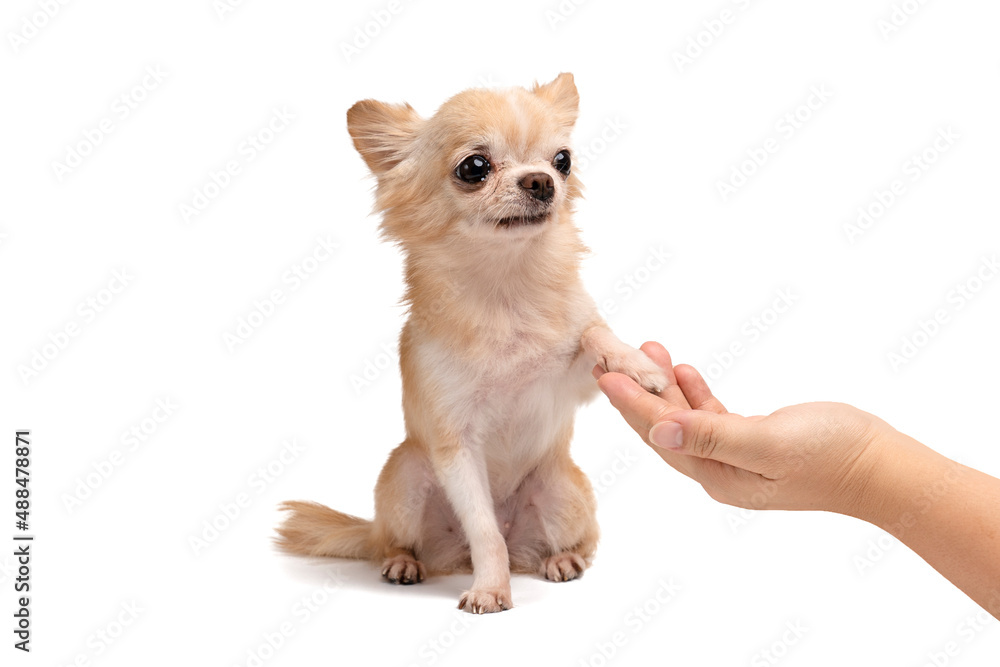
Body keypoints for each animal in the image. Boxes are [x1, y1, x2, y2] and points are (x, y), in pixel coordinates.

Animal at [276, 74, 664, 616]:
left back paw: (562, 559)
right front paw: (491, 589)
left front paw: (636, 364)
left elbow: (591, 330)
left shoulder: (570, 380)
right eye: (474, 168)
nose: (542, 180)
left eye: (563, 159)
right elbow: (484, 531)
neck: (505, 289)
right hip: (405, 476)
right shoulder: (454, 444)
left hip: (563, 488)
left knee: (577, 542)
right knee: (399, 541)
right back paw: (403, 563)